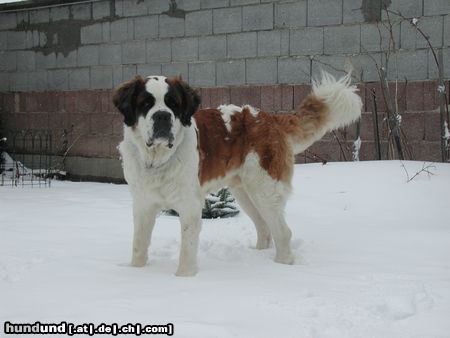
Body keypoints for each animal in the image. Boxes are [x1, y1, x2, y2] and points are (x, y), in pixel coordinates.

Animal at [114, 72, 364, 276]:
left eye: (173, 104)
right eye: (146, 103)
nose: (162, 116)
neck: (157, 158)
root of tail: (269, 118)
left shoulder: (190, 205)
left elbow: (187, 247)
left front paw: (184, 278)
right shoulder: (143, 204)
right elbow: (139, 243)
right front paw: (136, 272)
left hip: (265, 189)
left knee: (283, 232)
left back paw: (281, 267)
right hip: (245, 192)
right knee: (264, 228)